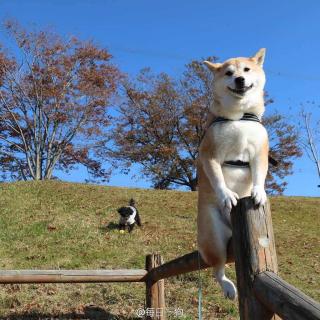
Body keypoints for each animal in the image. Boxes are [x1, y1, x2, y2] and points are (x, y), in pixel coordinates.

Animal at [198, 48, 270, 298]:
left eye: (246, 70)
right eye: (229, 73)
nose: (239, 79)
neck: (239, 117)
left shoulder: (260, 154)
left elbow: (259, 175)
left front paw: (259, 192)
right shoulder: (209, 155)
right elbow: (218, 178)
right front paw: (226, 194)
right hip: (213, 237)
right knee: (217, 269)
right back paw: (228, 286)